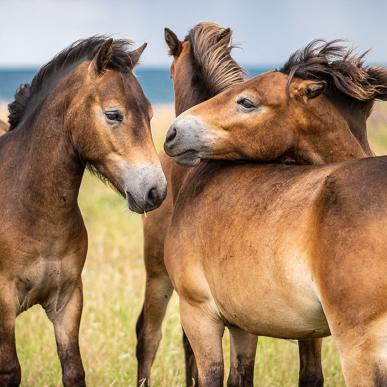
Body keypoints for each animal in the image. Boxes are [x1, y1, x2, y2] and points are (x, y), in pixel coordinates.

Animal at [0, 37, 167, 387]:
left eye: (148, 113)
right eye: (114, 114)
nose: (155, 191)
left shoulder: (67, 300)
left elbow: (74, 370)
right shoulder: (3, 302)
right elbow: (9, 370)